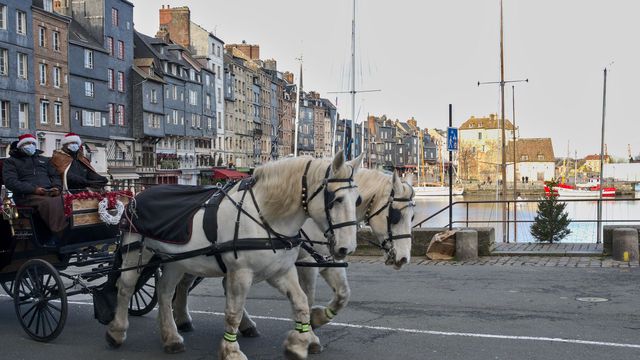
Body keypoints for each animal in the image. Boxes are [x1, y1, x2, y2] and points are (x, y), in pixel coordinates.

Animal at [107, 152, 362, 360]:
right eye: (336, 199)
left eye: (357, 199)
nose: (346, 248)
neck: (264, 216)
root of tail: (139, 195)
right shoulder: (243, 272)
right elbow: (233, 311)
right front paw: (231, 350)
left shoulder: (281, 270)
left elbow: (305, 301)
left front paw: (300, 341)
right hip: (136, 250)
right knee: (126, 287)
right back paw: (117, 331)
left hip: (176, 261)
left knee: (165, 291)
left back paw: (171, 336)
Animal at [171, 169, 416, 354]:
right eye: (395, 216)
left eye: (413, 216)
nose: (404, 257)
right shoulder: (307, 262)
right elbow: (308, 297)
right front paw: (310, 334)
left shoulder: (325, 259)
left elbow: (343, 295)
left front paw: (316, 319)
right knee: (183, 283)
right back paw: (181, 320)